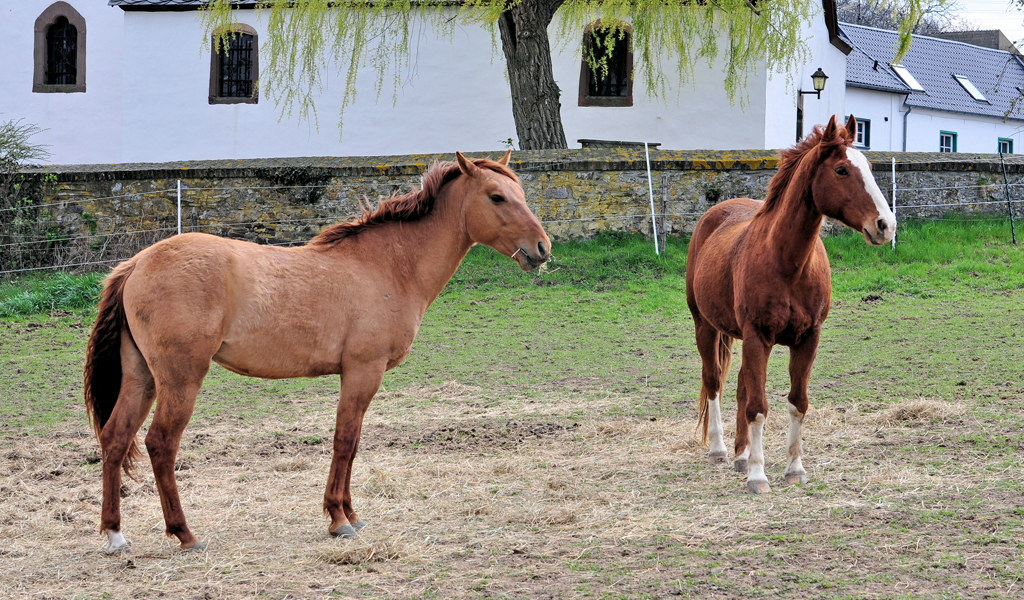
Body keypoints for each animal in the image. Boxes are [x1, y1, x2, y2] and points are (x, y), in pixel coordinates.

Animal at [84, 150, 552, 552]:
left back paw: (114, 535)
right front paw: (339, 519)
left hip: (142, 378)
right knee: (161, 443)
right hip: (180, 379)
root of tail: (137, 264)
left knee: (115, 438)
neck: (388, 265)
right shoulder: (363, 372)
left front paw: (350, 513)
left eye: (520, 194)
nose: (542, 248)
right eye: (497, 196)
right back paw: (184, 534)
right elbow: (344, 441)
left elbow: (353, 442)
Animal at [688, 114, 897, 493]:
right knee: (714, 383)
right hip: (706, 327)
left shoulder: (808, 338)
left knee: (740, 387)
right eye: (842, 169)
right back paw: (721, 451)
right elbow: (757, 407)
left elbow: (796, 403)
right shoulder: (757, 337)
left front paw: (794, 469)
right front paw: (758, 476)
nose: (885, 225)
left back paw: (742, 455)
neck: (787, 262)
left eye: (870, 167)